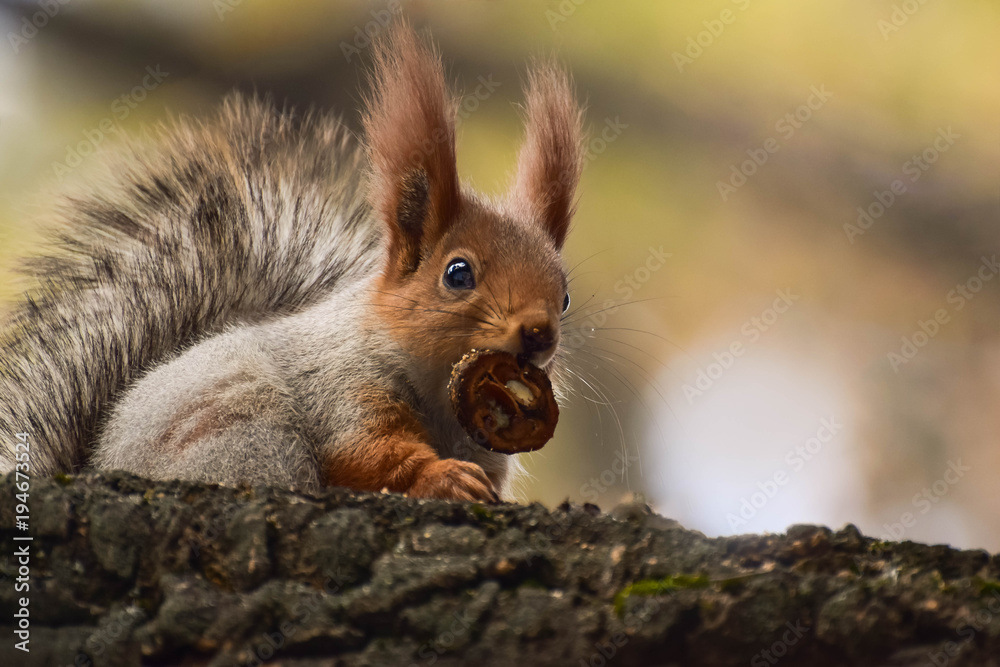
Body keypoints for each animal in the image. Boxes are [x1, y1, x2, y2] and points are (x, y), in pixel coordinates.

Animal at [0, 24, 584, 500]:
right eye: (457, 273)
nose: (539, 333)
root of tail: (98, 465)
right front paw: (443, 478)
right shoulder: (340, 384)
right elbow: (368, 454)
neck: (441, 394)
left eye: (565, 296)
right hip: (247, 431)